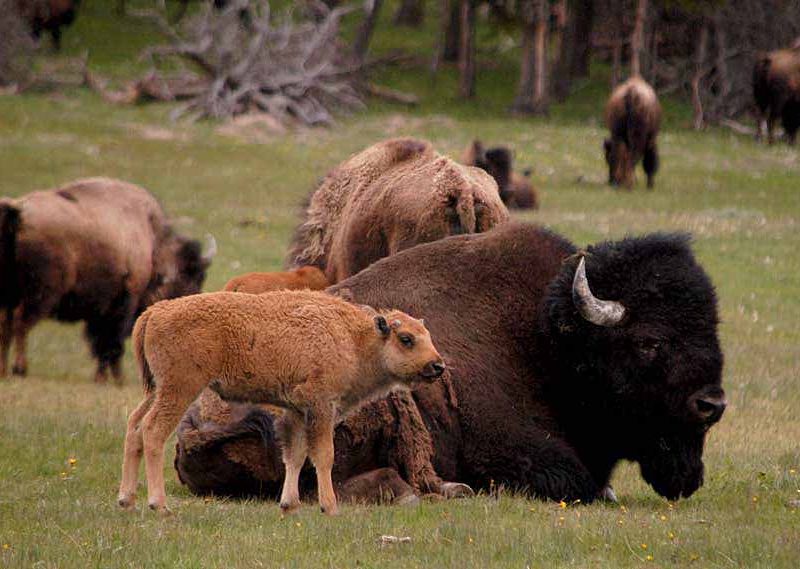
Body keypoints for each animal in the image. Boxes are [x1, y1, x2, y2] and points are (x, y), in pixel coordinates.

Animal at [0, 178, 216, 382]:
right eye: (188, 278)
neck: (153, 243)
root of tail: (18, 213)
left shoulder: (100, 311)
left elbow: (100, 343)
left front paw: (104, 378)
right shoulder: (123, 303)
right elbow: (111, 343)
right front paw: (114, 379)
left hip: (11, 296)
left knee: (7, 325)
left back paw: (4, 372)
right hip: (42, 294)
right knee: (21, 323)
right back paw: (20, 369)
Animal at [118, 288, 444, 516]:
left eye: (427, 334)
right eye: (406, 339)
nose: (437, 366)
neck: (354, 338)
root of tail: (155, 311)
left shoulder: (296, 412)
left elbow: (295, 455)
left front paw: (289, 505)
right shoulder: (320, 408)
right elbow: (323, 455)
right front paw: (330, 507)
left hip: (156, 389)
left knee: (134, 425)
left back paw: (126, 500)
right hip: (179, 389)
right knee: (153, 431)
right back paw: (159, 505)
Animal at [173, 221, 724, 502]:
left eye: (711, 328)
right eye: (650, 342)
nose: (712, 404)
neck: (544, 338)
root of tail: (191, 425)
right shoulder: (514, 450)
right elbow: (581, 484)